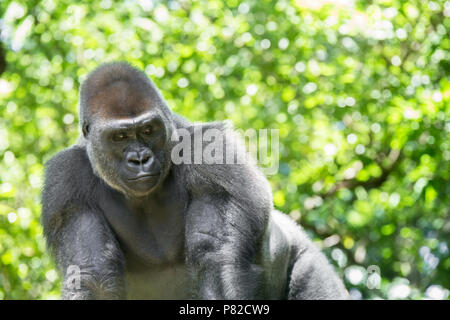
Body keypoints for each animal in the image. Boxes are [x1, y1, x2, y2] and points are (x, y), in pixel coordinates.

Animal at [40, 62, 348, 300]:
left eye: (148, 130)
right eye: (120, 137)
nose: (139, 159)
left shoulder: (211, 157)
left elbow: (217, 259)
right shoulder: (66, 183)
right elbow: (91, 274)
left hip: (307, 256)